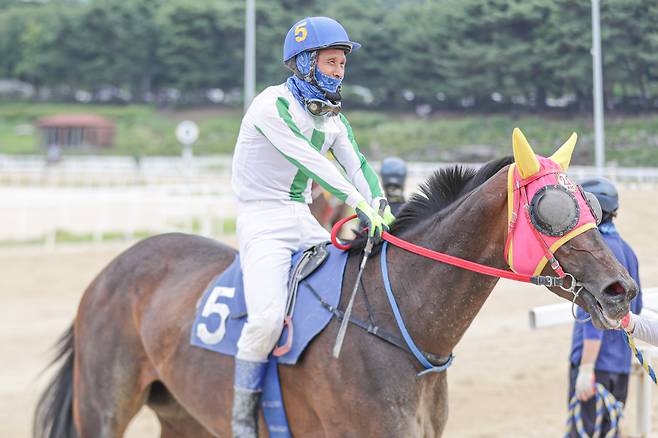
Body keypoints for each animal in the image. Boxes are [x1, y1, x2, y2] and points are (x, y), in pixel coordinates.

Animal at [34, 135, 636, 436]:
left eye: (589, 203)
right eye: (551, 210)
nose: (621, 289)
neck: (395, 323)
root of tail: (109, 272)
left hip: (186, 418)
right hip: (104, 407)